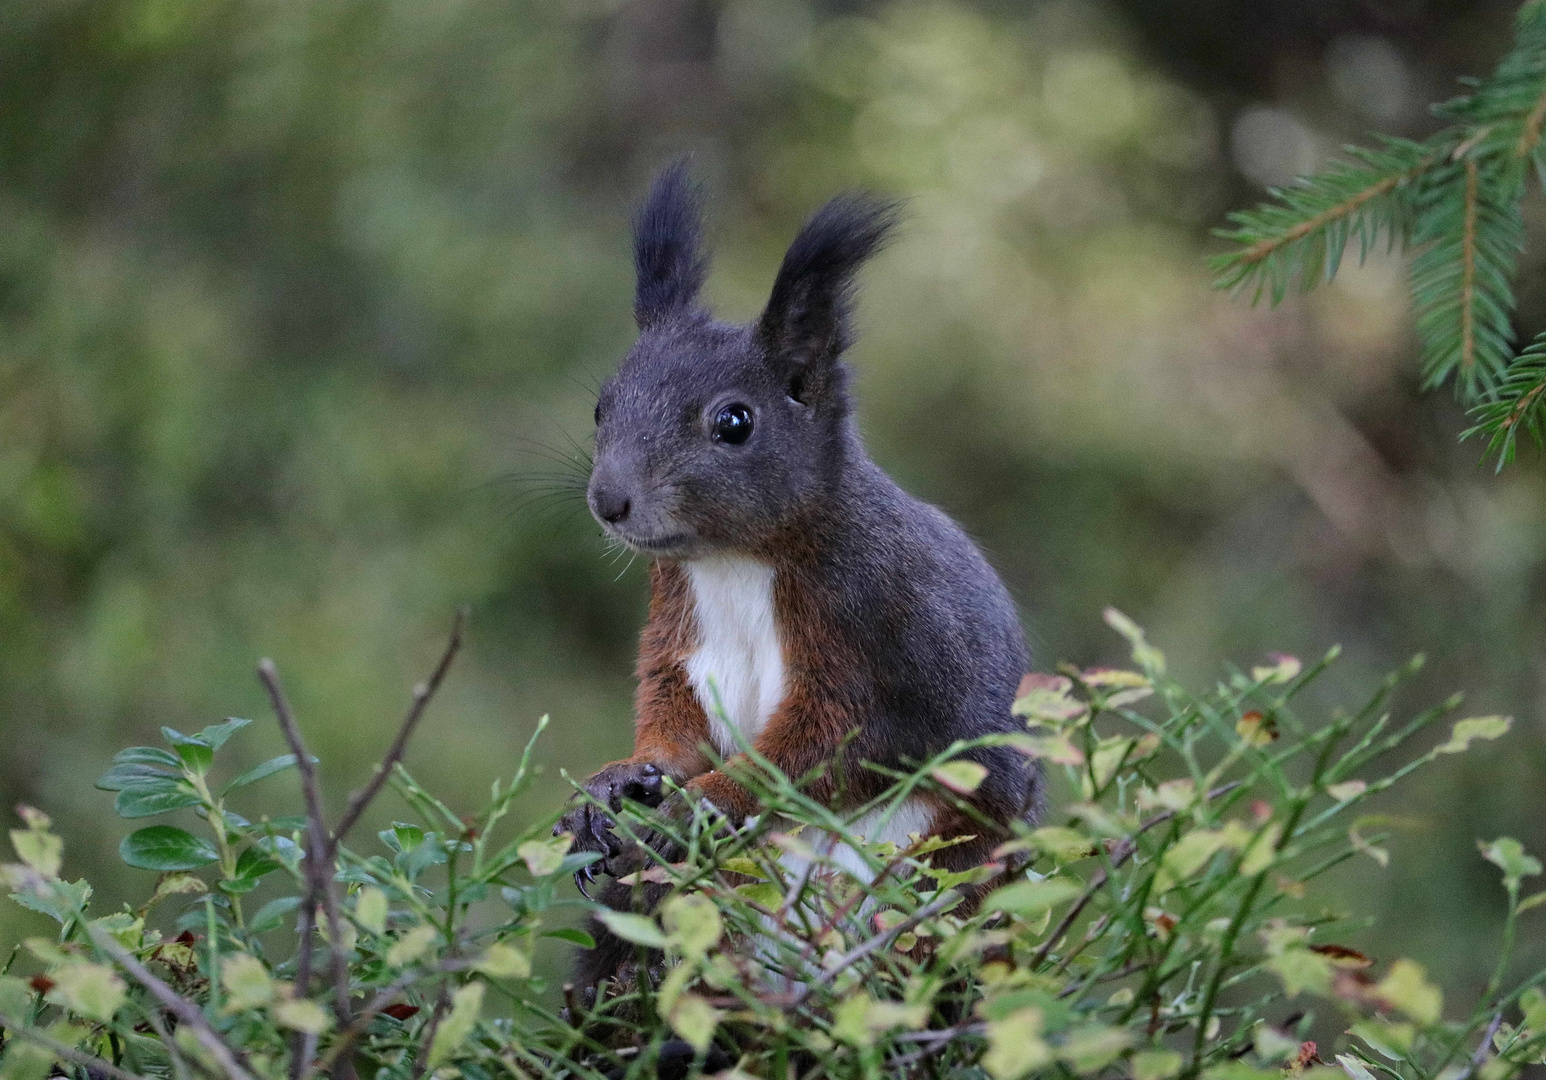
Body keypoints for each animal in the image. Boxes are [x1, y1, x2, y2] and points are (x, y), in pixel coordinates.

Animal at [556, 163, 1038, 988]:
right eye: (600, 408)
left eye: (734, 422)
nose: (609, 501)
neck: (734, 560)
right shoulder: (677, 632)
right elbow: (673, 718)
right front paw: (616, 783)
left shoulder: (874, 635)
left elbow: (822, 750)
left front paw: (699, 807)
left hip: (958, 861)